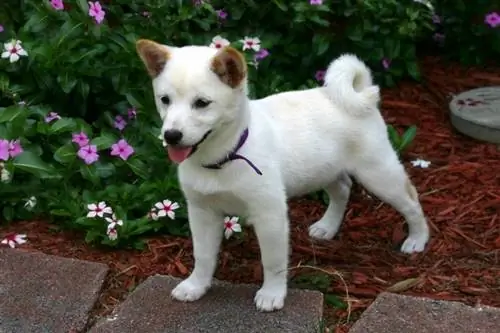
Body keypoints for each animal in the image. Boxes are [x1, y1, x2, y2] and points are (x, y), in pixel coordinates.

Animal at [136, 39, 430, 312]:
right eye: (165, 100)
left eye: (202, 103)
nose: (171, 136)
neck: (226, 155)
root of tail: (360, 93)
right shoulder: (201, 212)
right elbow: (204, 255)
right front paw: (196, 285)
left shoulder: (270, 215)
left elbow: (273, 261)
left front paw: (272, 294)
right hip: (325, 170)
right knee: (343, 189)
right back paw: (328, 226)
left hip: (378, 174)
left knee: (411, 201)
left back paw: (417, 239)